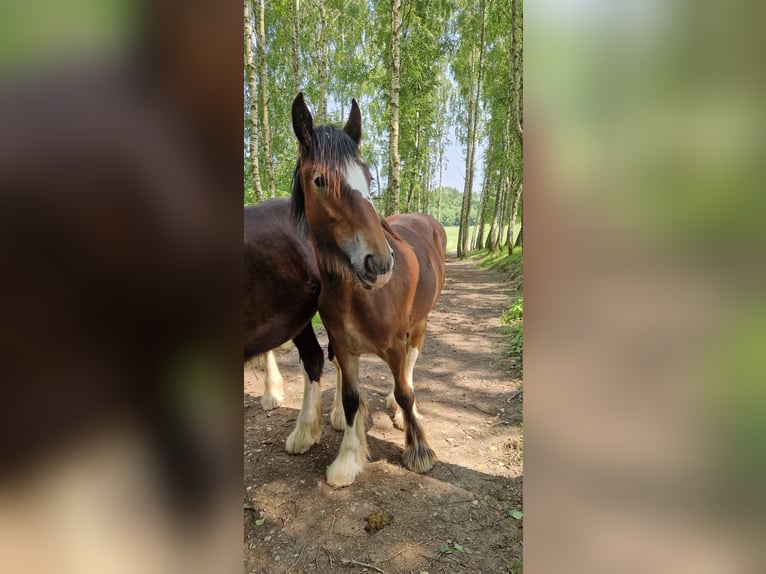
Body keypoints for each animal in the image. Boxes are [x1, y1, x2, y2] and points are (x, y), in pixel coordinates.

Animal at [291, 92, 447, 487]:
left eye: (368, 177)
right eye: (320, 180)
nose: (380, 263)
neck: (360, 296)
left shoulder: (393, 345)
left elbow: (405, 392)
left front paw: (419, 451)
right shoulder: (345, 349)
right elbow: (349, 399)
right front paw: (348, 459)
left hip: (420, 323)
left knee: (411, 366)